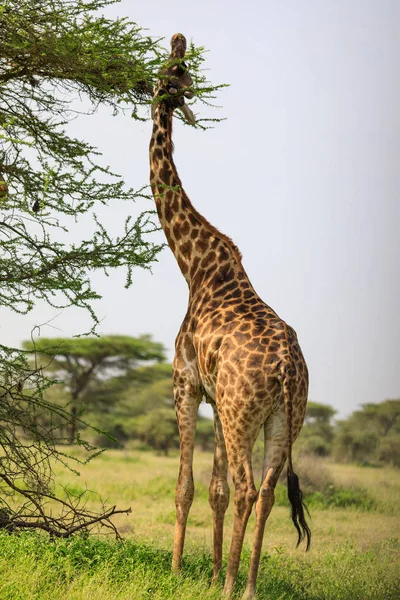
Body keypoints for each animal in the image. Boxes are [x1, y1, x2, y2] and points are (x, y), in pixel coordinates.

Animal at [148, 35, 310, 596]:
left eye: (178, 73)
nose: (175, 43)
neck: (194, 264)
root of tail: (287, 370)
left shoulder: (186, 381)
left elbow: (187, 486)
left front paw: (178, 571)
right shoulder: (219, 400)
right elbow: (214, 489)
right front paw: (214, 567)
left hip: (245, 413)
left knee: (246, 488)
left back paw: (233, 587)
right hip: (283, 417)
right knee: (266, 492)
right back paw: (248, 584)